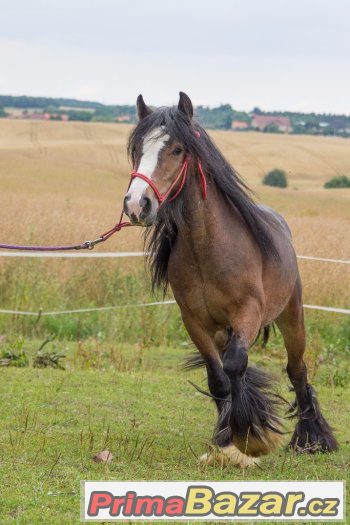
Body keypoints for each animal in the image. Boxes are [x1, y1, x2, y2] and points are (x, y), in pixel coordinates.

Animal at [122, 91, 336, 466]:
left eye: (177, 149)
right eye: (137, 149)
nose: (137, 205)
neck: (209, 247)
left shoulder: (247, 312)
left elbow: (236, 365)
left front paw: (253, 439)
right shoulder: (194, 320)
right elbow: (219, 379)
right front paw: (230, 438)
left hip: (291, 316)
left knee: (297, 370)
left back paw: (312, 439)